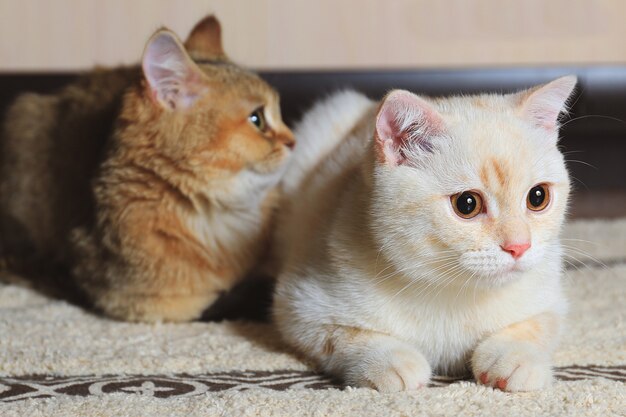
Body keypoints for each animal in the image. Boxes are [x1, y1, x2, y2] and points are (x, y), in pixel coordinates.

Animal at [272, 76, 576, 392]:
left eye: (538, 197)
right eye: (467, 204)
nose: (519, 246)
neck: (454, 292)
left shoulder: (550, 297)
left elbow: (537, 325)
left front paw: (515, 358)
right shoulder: (300, 306)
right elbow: (346, 336)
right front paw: (390, 362)